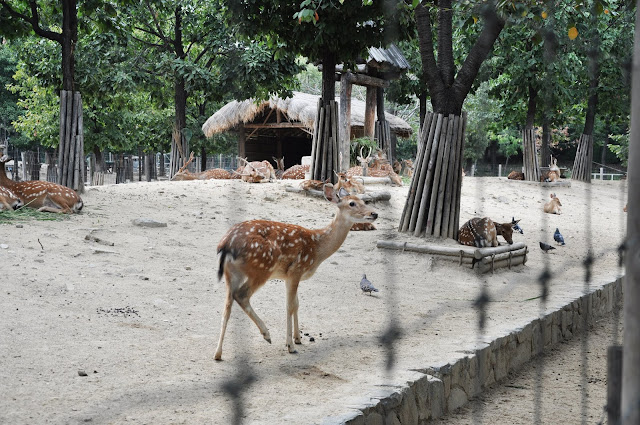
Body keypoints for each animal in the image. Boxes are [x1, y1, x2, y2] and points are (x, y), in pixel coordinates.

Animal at [215, 185, 378, 358]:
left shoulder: (289, 276)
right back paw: (267, 334)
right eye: (352, 203)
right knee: (241, 295)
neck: (317, 249)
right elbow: (290, 305)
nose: (374, 213)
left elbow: (297, 304)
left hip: (231, 273)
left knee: (227, 306)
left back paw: (218, 353)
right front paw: (290, 345)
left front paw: (298, 338)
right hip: (262, 268)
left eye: (364, 200)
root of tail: (226, 245)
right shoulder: (296, 270)